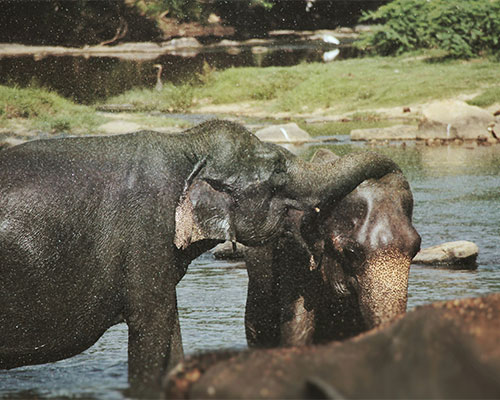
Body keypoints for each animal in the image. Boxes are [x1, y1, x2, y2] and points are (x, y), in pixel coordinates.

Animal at [0, 120, 400, 396]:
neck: (187, 145)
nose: (393, 174)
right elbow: (151, 329)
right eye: (277, 180)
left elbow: (171, 331)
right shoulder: (146, 235)